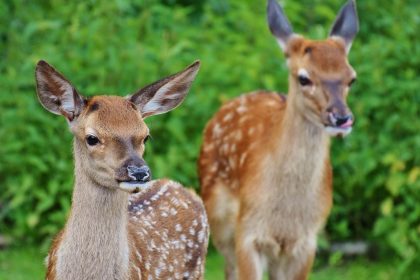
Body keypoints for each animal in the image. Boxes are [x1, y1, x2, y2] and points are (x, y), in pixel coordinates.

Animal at [199, 0, 360, 280]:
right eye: (304, 78)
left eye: (351, 78)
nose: (341, 118)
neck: (286, 215)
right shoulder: (248, 231)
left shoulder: (307, 240)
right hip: (219, 219)